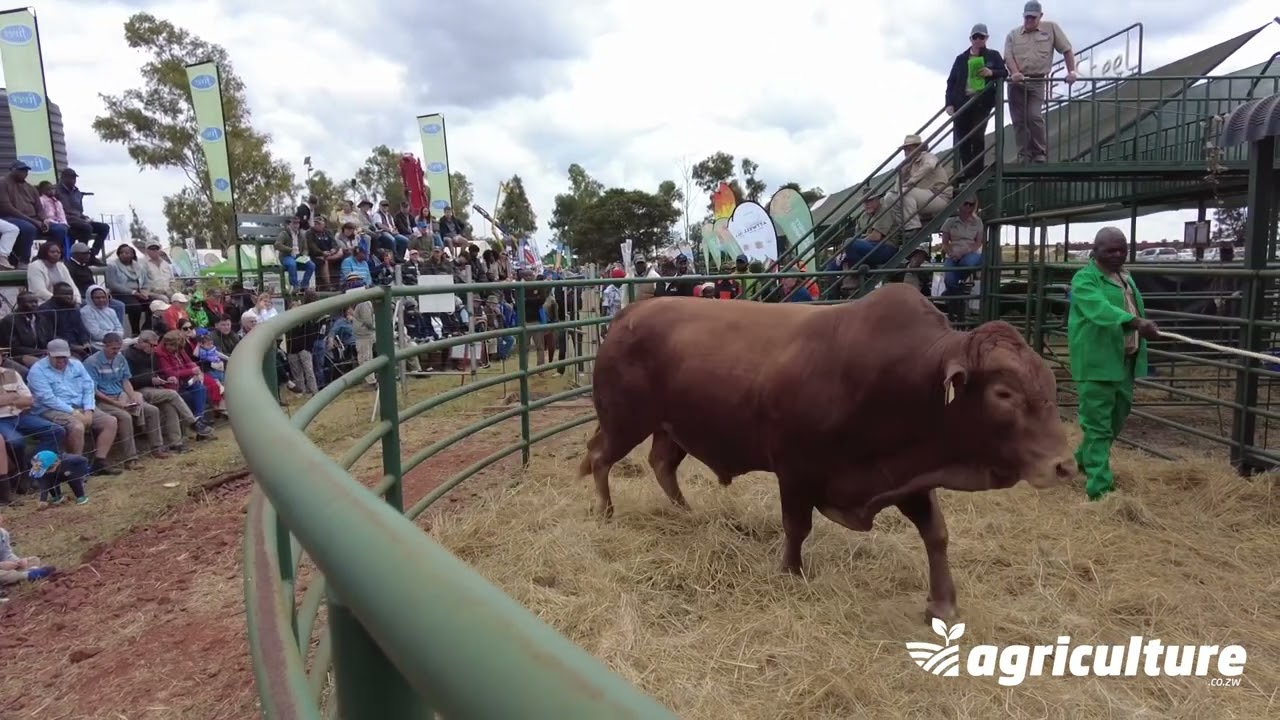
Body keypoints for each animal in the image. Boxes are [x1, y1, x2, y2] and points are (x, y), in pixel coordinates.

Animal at [579, 282, 1074, 621]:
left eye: (1049, 384)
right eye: (1004, 394)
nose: (1064, 465)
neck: (905, 379)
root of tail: (630, 312)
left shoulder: (909, 476)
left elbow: (937, 535)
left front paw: (943, 603)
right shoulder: (795, 471)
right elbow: (796, 527)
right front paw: (790, 573)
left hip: (670, 428)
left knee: (661, 463)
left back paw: (684, 511)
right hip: (625, 421)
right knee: (600, 456)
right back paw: (604, 512)